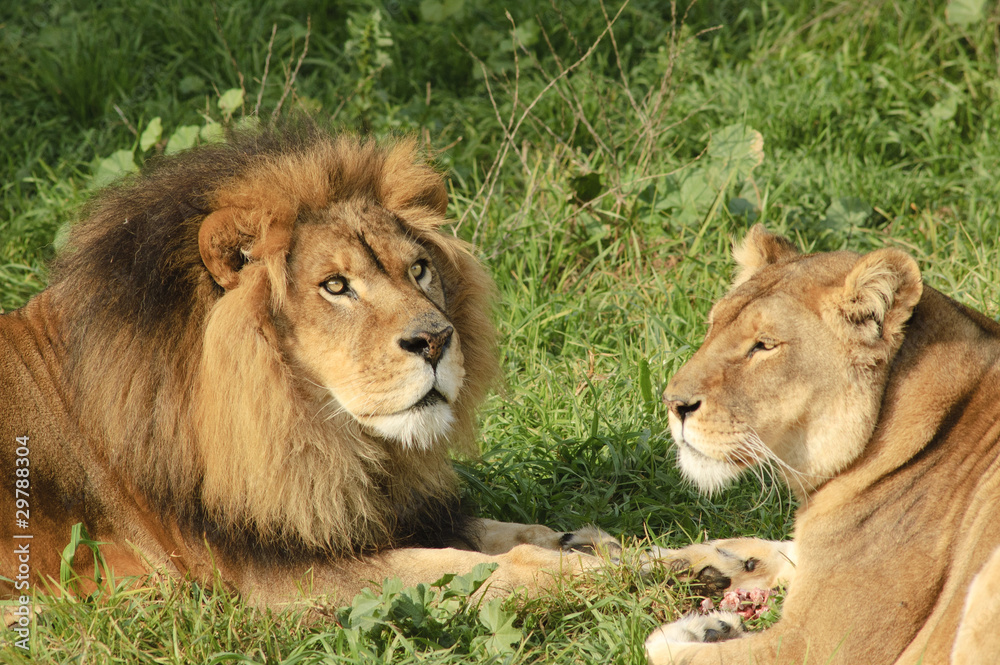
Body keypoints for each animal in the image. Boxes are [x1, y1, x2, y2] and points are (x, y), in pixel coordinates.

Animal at [0, 125, 616, 612]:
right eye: (336, 286)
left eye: (419, 269)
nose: (436, 341)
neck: (310, 428)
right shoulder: (268, 576)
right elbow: (462, 568)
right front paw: (589, 573)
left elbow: (494, 530)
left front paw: (594, 543)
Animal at [644, 225, 1000, 664]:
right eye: (713, 326)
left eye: (764, 345)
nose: (672, 403)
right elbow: (784, 549)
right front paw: (692, 562)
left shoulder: (818, 645)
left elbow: (662, 649)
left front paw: (700, 629)